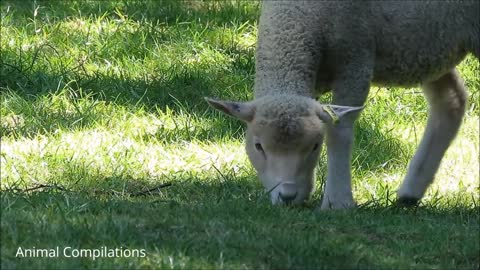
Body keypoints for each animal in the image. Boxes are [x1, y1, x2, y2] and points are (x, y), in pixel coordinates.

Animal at [204, 0, 478, 209]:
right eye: (258, 146)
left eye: (315, 146)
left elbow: (339, 130)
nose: (288, 196)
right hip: (431, 45)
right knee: (452, 100)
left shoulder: (355, 59)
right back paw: (410, 193)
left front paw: (337, 201)